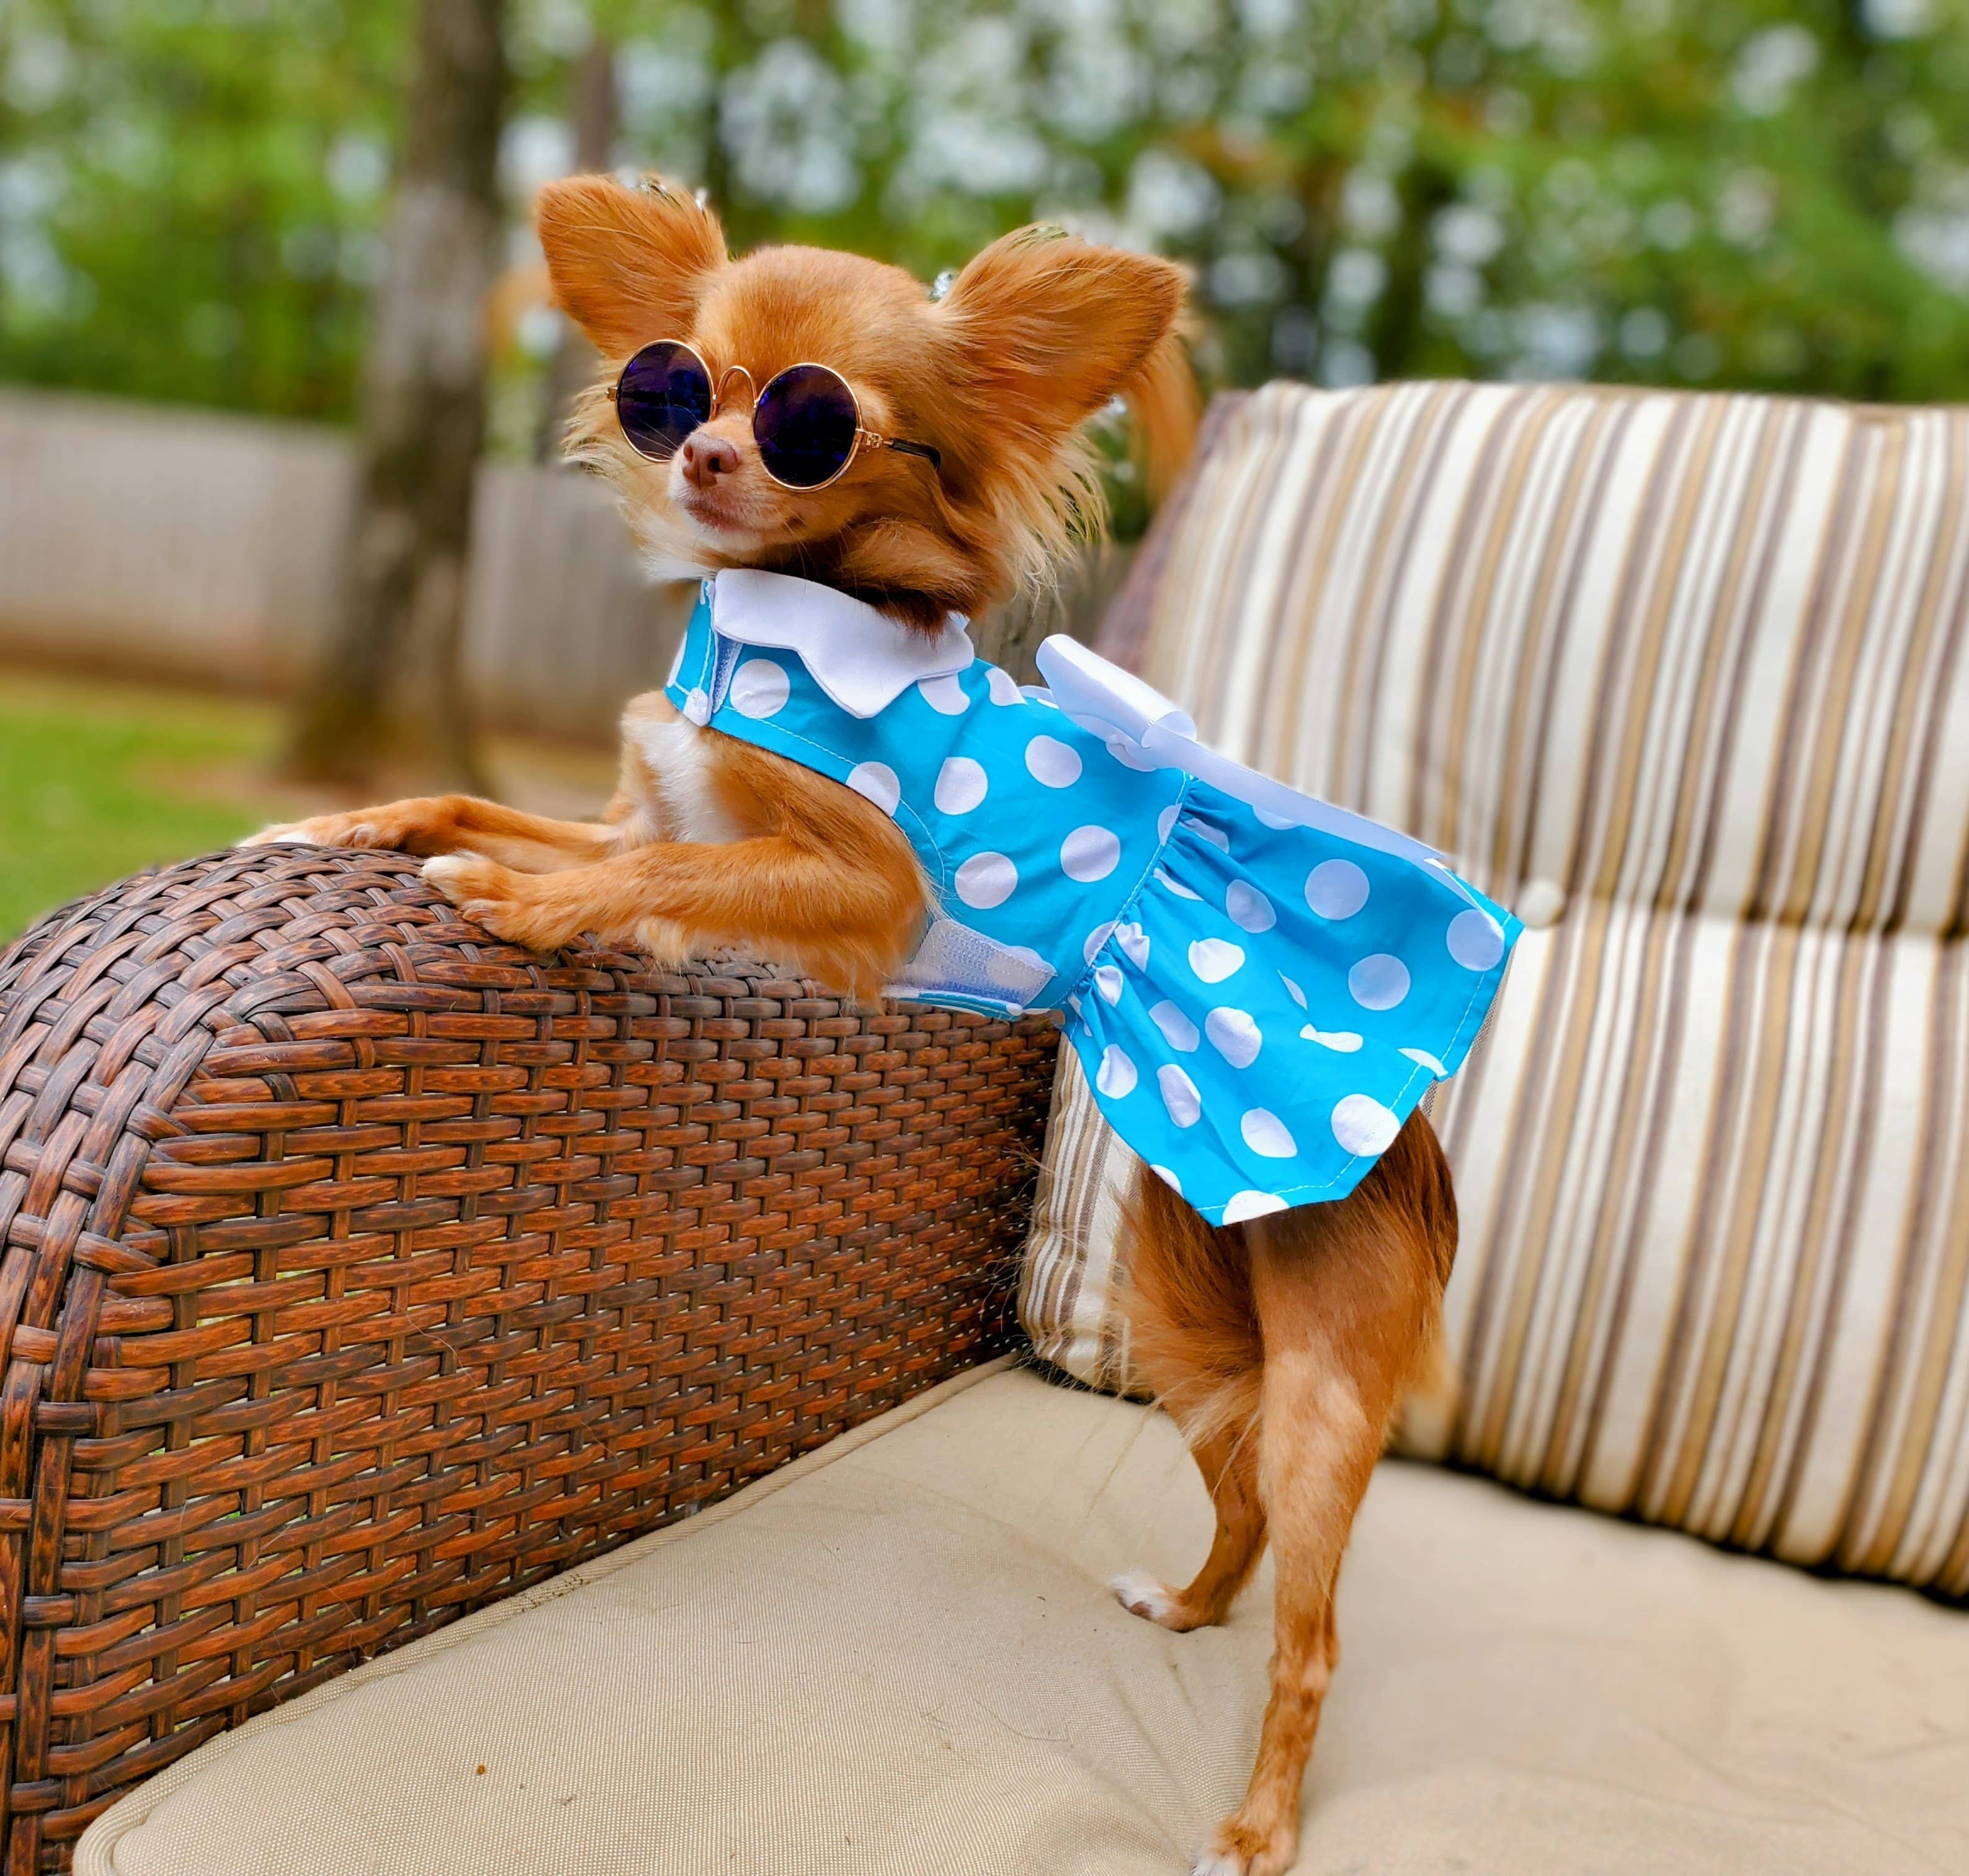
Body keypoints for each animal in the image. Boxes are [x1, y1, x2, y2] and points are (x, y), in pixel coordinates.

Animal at [257, 172, 1465, 1858]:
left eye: (814, 424)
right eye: (675, 384)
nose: (702, 452)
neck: (778, 636)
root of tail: (1413, 1149)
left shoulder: (857, 889)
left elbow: (664, 880)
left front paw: (515, 908)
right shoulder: (641, 814)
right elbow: (498, 810)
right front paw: (351, 822)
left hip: (1317, 1391)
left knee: (1314, 1639)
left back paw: (1257, 1829)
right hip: (1189, 1317)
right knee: (1240, 1515)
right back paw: (1185, 1606)